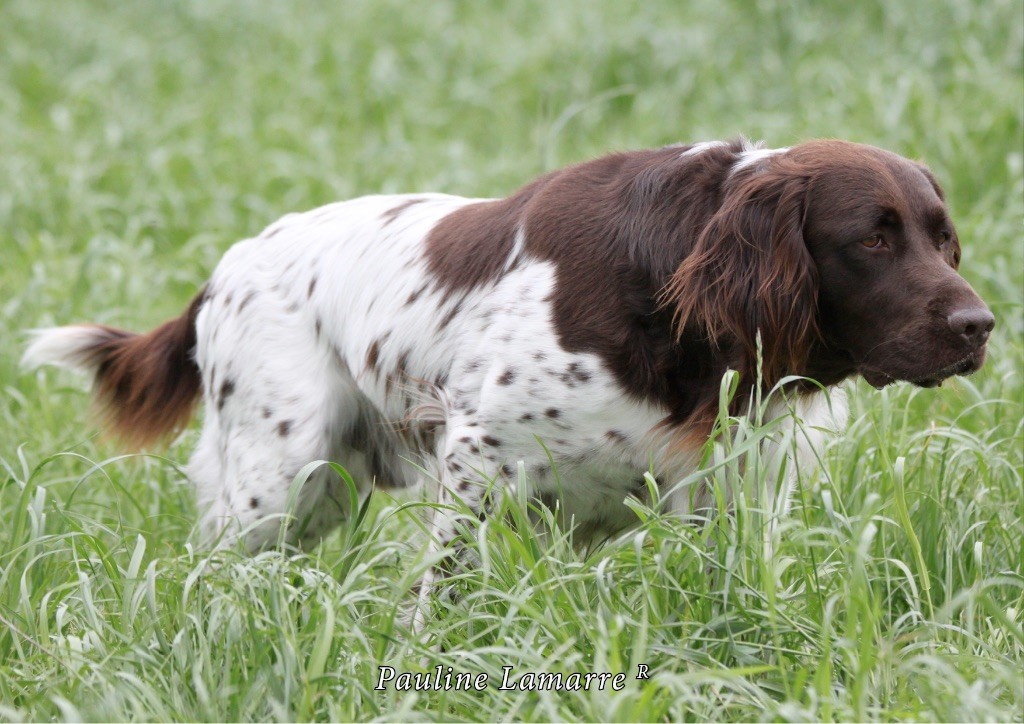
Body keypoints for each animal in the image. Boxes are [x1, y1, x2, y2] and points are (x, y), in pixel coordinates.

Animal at [22, 140, 991, 602]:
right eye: (872, 238)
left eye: (941, 237)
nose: (979, 326)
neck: (673, 301)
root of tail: (226, 269)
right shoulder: (481, 462)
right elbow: (438, 598)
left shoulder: (731, 495)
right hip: (278, 476)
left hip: (322, 489)